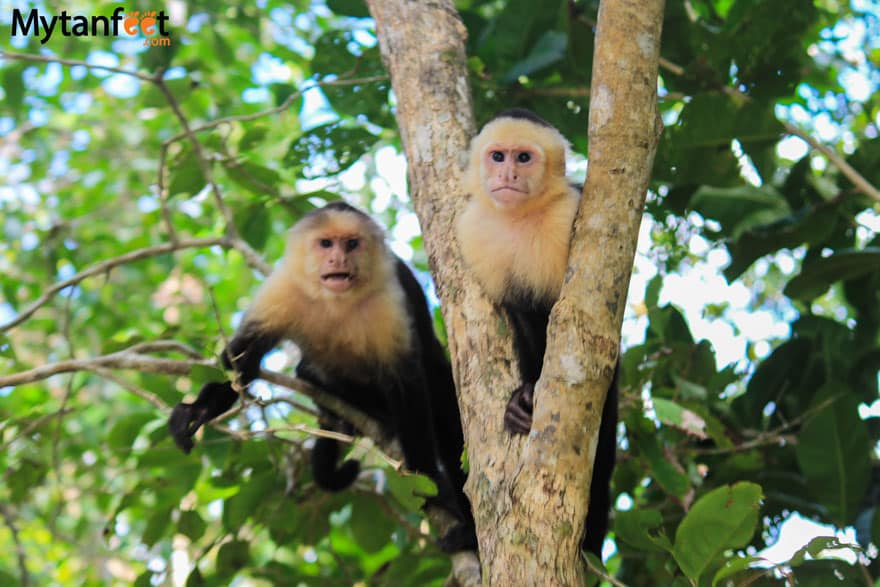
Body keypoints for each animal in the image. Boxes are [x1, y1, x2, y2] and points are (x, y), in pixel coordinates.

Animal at [169, 202, 478, 552]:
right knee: (308, 370)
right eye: (326, 244)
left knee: (447, 418)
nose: (338, 259)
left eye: (352, 244)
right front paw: (199, 410)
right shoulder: (283, 289)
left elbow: (408, 386)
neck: (336, 301)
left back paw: (467, 528)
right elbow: (241, 362)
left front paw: (425, 478)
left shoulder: (388, 298)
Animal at [454, 108, 620, 560]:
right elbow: (518, 315)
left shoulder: (571, 211)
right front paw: (523, 396)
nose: (508, 173)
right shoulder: (475, 235)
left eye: (523, 158)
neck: (518, 218)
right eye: (497, 156)